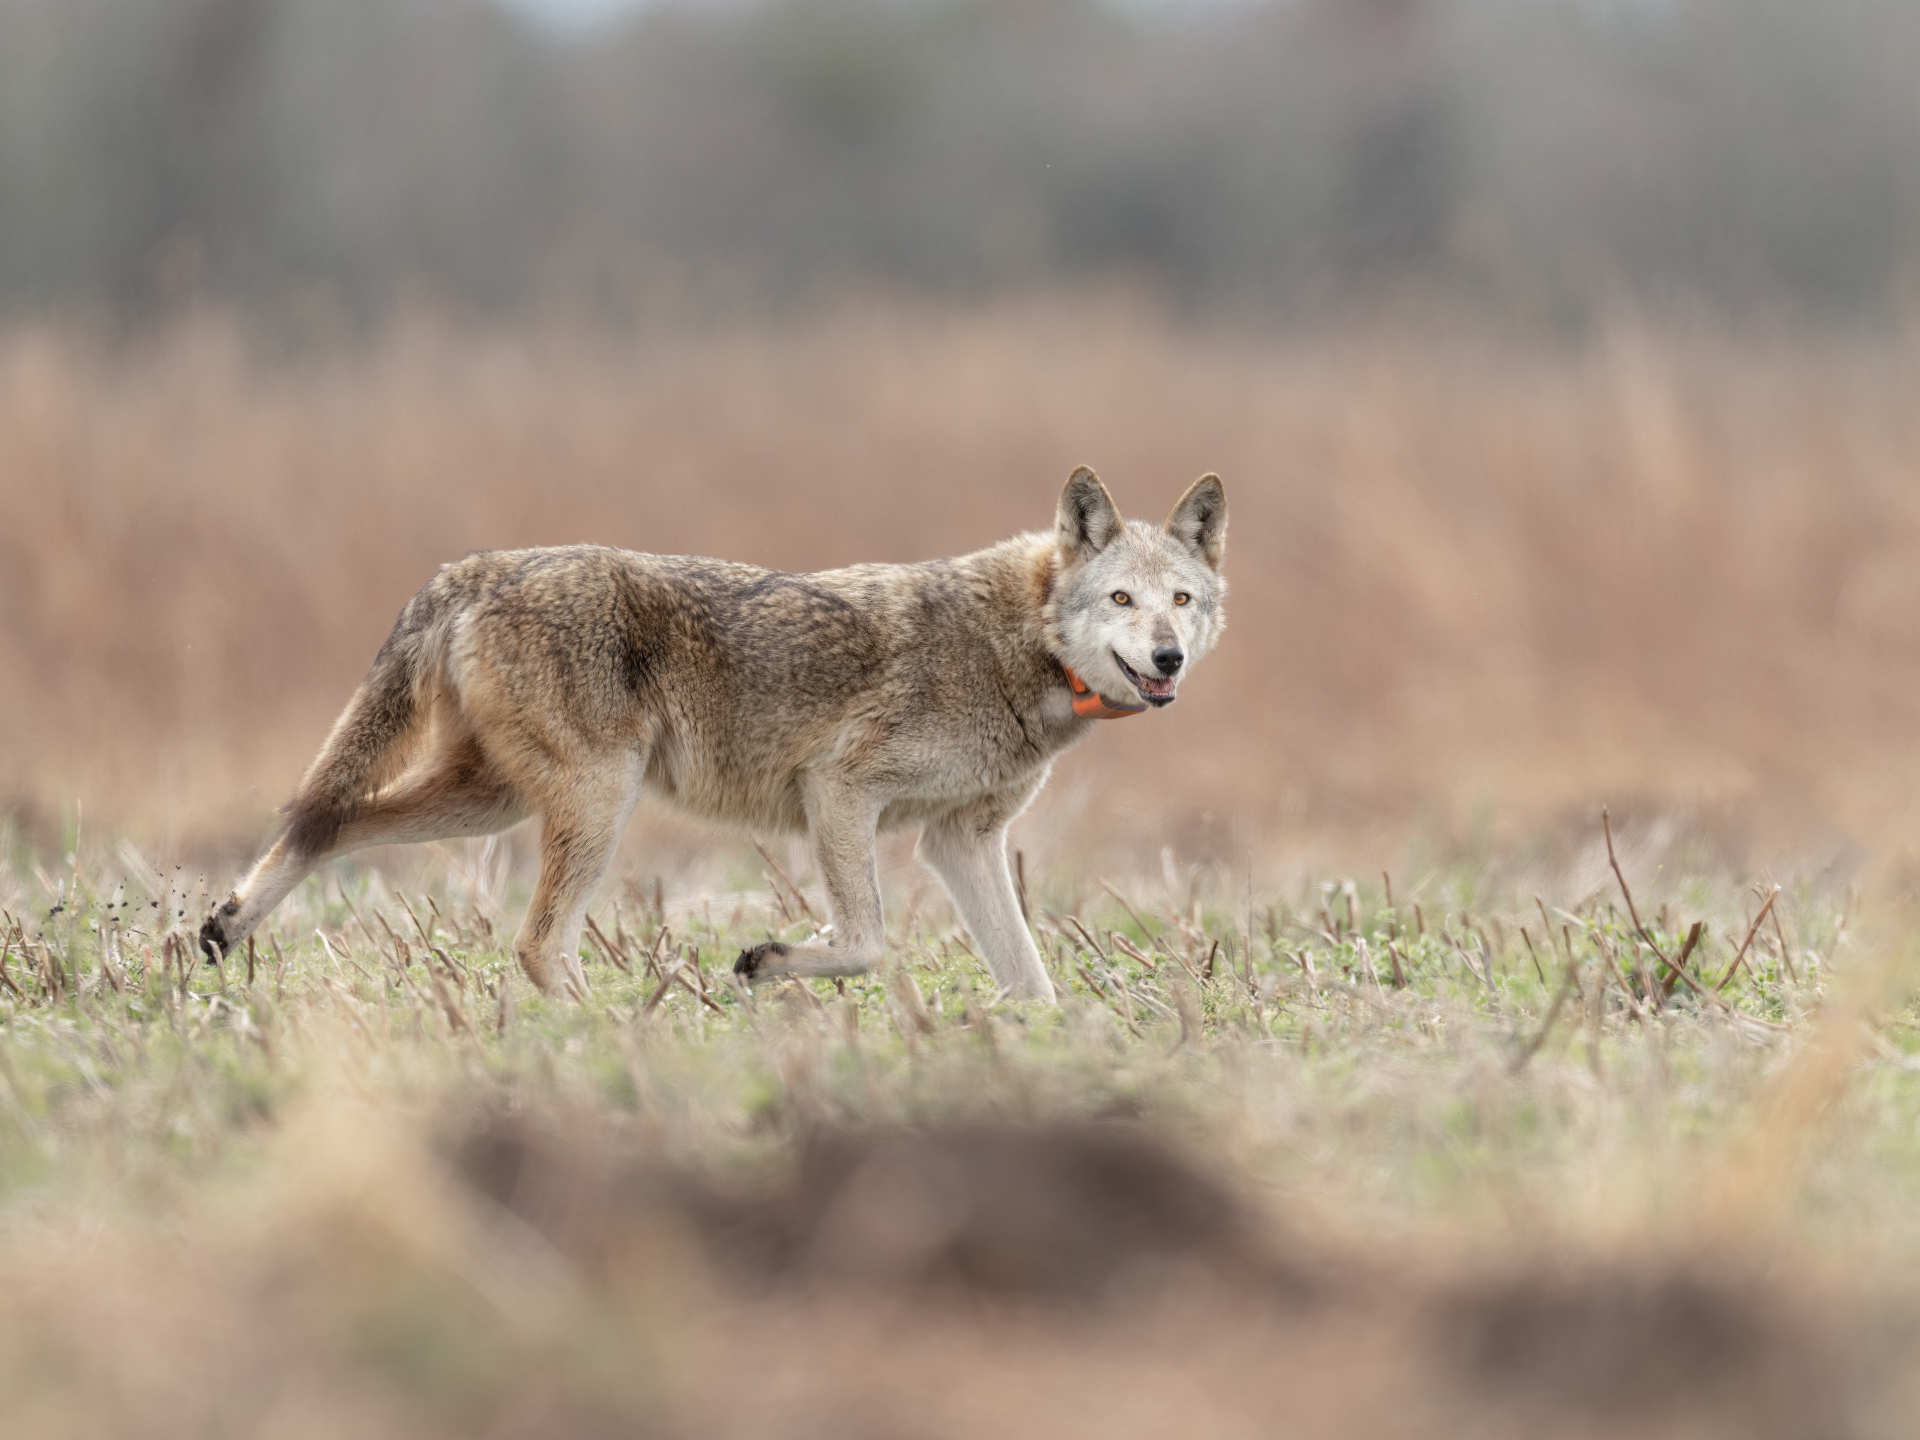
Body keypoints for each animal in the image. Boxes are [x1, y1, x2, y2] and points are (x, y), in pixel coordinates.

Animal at [197, 468, 1227, 1002]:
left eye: (1181, 600)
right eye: (1121, 600)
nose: (1169, 658)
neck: (1021, 645)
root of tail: (475, 568)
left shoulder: (960, 840)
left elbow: (1031, 981)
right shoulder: (839, 791)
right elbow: (868, 940)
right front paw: (768, 962)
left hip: (493, 804)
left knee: (328, 822)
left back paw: (223, 927)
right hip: (592, 804)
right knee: (533, 943)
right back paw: (618, 1035)